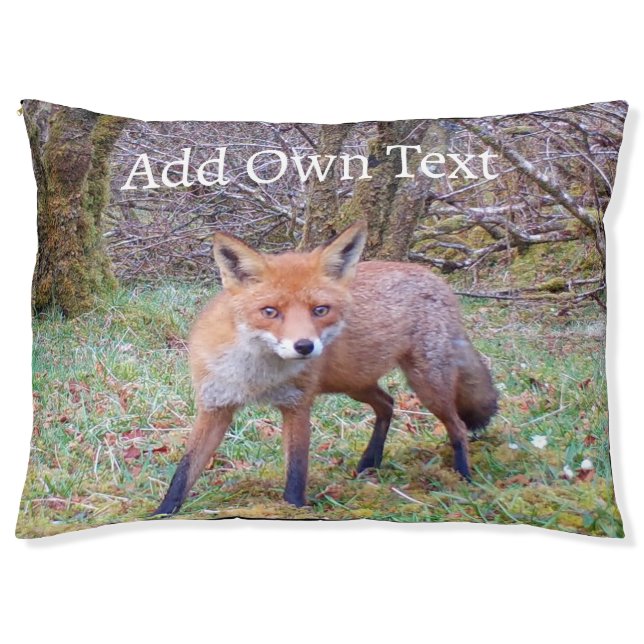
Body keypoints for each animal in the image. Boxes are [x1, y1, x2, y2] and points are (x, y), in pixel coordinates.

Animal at [153, 221, 497, 515]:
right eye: (270, 311)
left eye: (320, 310)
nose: (305, 346)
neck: (257, 376)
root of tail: (435, 278)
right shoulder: (215, 405)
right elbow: (184, 471)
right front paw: (162, 513)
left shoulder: (297, 404)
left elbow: (296, 470)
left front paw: (293, 511)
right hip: (355, 383)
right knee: (388, 404)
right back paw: (369, 462)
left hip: (426, 384)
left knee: (457, 426)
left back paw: (463, 476)